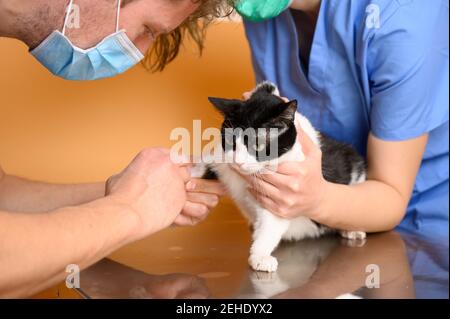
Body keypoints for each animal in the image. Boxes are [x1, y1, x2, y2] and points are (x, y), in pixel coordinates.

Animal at [192, 82, 368, 272]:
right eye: (231, 142)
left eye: (259, 145)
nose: (238, 162)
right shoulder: (225, 161)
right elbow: (210, 162)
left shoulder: (282, 196)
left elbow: (271, 225)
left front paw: (260, 255)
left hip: (355, 165)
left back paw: (351, 230)